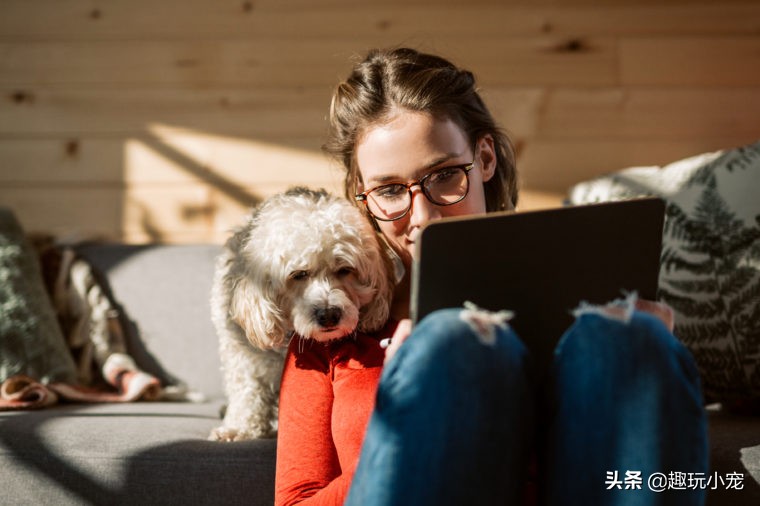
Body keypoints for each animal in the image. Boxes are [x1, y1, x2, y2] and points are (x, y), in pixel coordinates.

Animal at [211, 188, 394, 440]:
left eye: (345, 270)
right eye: (299, 274)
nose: (329, 314)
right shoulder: (243, 354)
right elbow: (247, 389)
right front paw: (239, 427)